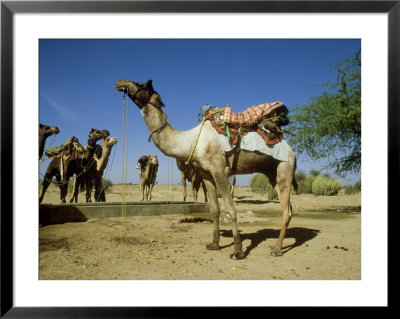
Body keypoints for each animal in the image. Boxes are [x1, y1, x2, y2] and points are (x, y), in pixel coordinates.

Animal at [115, 79, 296, 260]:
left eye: (141, 84)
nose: (120, 82)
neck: (191, 142)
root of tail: (292, 151)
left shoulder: (219, 170)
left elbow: (230, 209)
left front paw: (238, 251)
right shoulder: (206, 175)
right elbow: (214, 209)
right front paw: (214, 244)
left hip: (285, 170)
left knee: (286, 211)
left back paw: (276, 249)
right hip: (272, 174)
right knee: (288, 208)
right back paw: (276, 246)